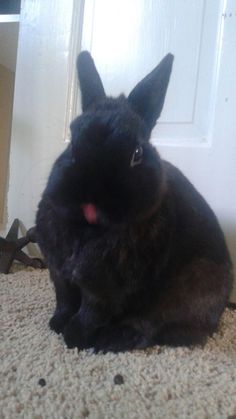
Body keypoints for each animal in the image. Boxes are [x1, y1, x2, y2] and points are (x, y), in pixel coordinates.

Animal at [36, 52, 233, 354]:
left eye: (137, 153)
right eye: (72, 144)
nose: (91, 198)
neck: (89, 230)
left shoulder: (104, 288)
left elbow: (90, 312)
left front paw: (74, 337)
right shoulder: (60, 274)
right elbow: (65, 300)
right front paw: (57, 324)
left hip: (187, 290)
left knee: (150, 325)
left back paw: (113, 339)